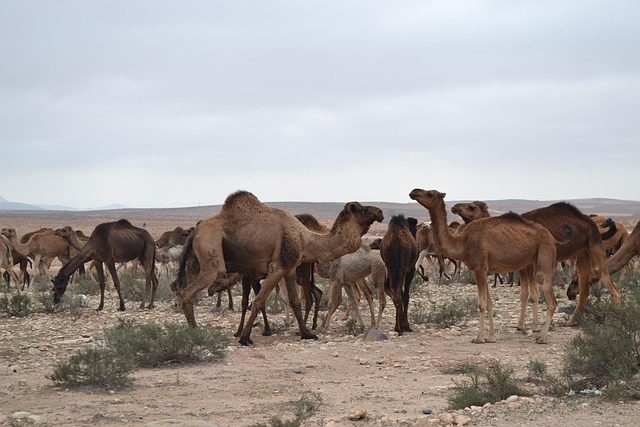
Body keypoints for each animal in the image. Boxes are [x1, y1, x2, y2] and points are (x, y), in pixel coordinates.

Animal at [172, 190, 383, 345]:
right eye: (364, 209)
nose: (380, 212)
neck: (305, 237)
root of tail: (195, 232)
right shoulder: (278, 267)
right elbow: (258, 300)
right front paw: (245, 337)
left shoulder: (289, 269)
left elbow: (295, 301)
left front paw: (307, 333)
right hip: (211, 252)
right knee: (189, 291)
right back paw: (195, 332)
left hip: (194, 261)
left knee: (183, 289)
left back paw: (193, 330)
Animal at [409, 189, 558, 344]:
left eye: (430, 194)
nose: (414, 191)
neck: (462, 243)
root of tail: (552, 238)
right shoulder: (479, 272)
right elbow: (489, 303)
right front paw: (491, 337)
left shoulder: (480, 270)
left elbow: (481, 305)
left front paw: (479, 337)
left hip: (545, 257)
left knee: (551, 300)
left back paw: (542, 337)